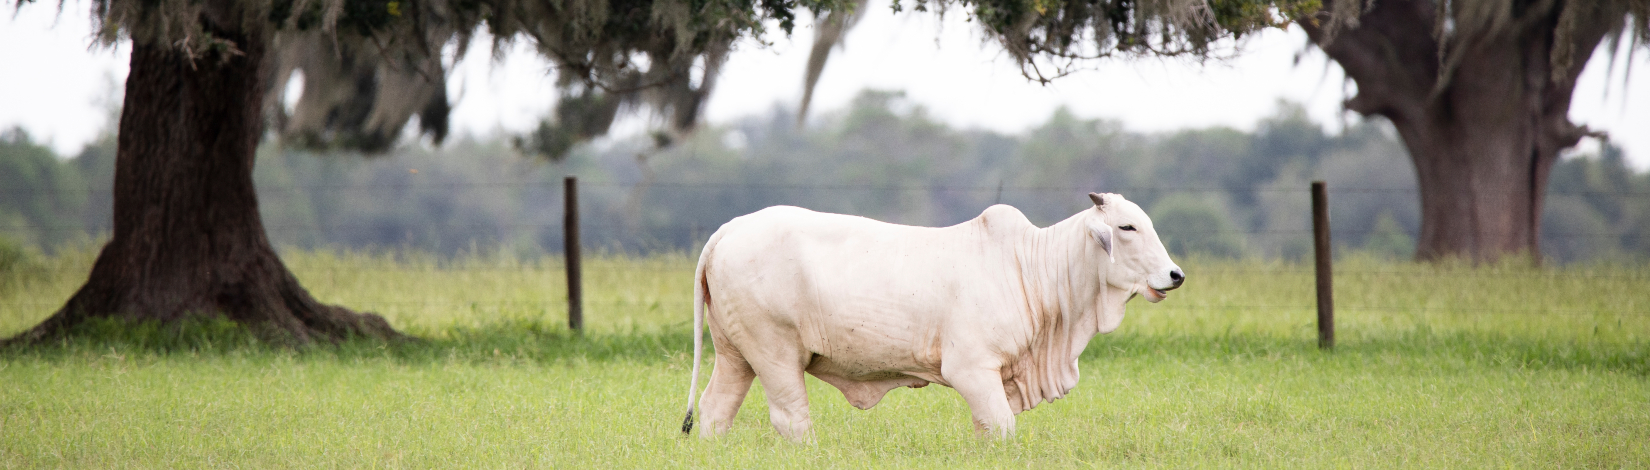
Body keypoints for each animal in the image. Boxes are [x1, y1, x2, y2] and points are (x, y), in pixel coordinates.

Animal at [676, 191, 1181, 438]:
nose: (1174, 275)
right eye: (1127, 227)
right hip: (775, 352)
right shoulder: (971, 369)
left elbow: (987, 430)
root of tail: (729, 229)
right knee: (791, 419)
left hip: (736, 354)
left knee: (714, 411)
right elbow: (1002, 427)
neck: (1031, 268)